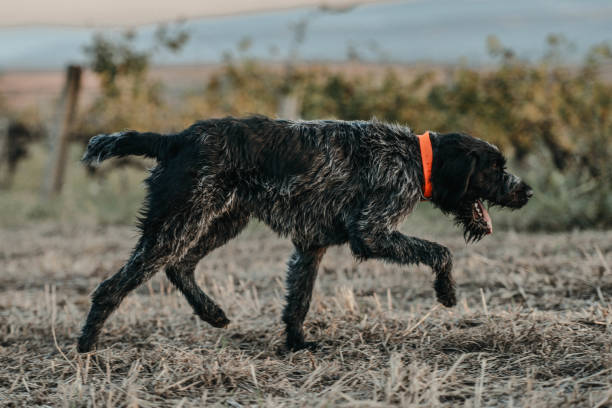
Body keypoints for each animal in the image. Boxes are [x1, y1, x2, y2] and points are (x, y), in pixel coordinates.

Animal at [77, 116, 532, 352]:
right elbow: (440, 252)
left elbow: (299, 301)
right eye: (496, 168)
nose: (527, 190)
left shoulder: (311, 245)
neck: (412, 159)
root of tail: (174, 139)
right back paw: (87, 344)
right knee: (111, 287)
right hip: (180, 222)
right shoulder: (371, 231)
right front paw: (447, 292)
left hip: (219, 220)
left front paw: (297, 344)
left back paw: (211, 312)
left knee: (179, 267)